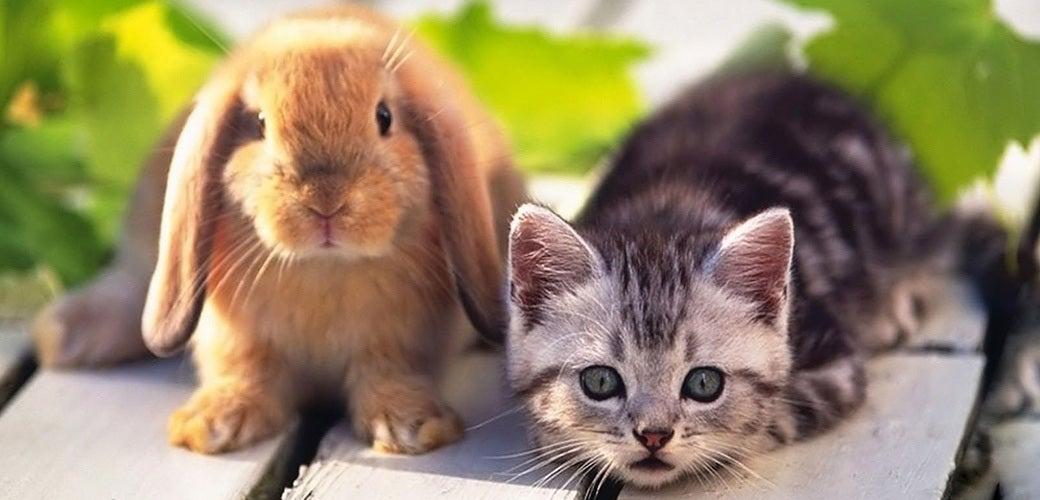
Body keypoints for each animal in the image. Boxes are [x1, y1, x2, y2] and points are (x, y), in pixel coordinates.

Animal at [31, 5, 527, 455]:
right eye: (260, 124)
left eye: (384, 117)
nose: (325, 201)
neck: (324, 268)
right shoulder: (236, 338)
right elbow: (245, 372)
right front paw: (210, 426)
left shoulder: (402, 340)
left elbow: (390, 374)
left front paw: (413, 428)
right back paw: (65, 335)